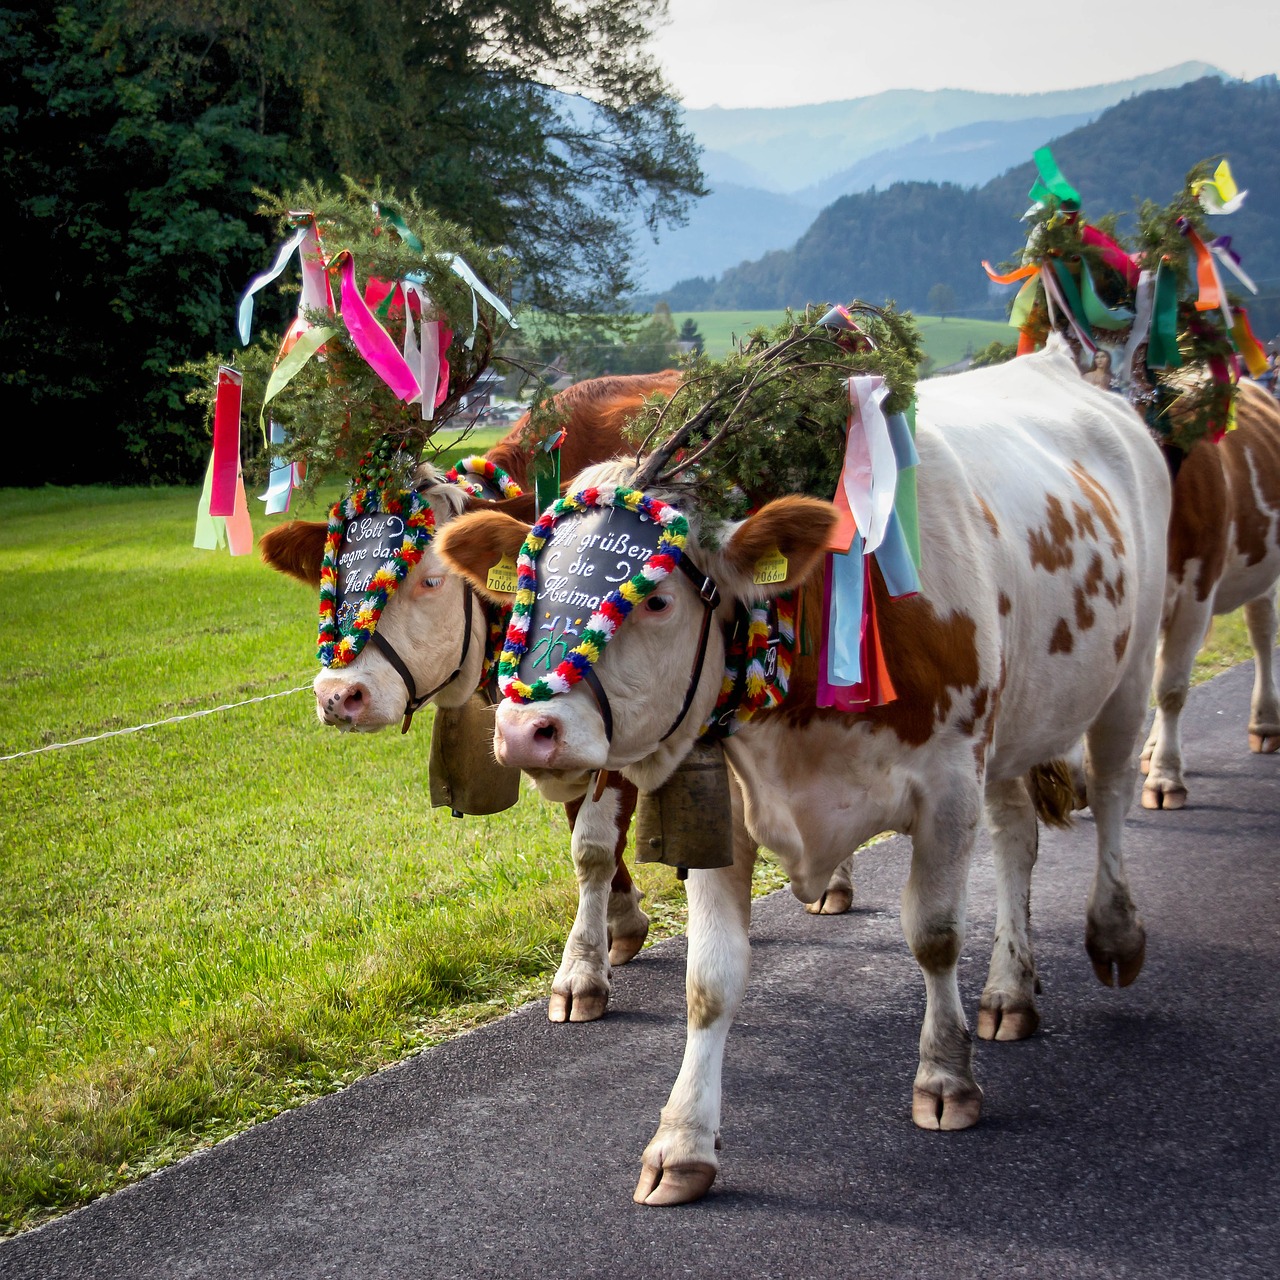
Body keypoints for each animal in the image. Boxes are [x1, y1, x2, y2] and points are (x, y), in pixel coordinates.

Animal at [440, 340, 1172, 1198]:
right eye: (530, 585)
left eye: (653, 599)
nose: (527, 730)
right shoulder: (726, 807)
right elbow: (710, 979)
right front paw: (682, 1141)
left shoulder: (949, 784)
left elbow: (935, 935)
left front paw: (945, 1078)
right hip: (1015, 728)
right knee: (1018, 840)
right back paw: (1009, 990)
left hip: (1128, 669)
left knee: (1114, 795)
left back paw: (1113, 934)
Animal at [1141, 373, 1280, 808]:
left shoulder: (1196, 592)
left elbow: (1171, 688)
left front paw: (1166, 778)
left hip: (1263, 572)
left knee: (1262, 632)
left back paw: (1265, 723)